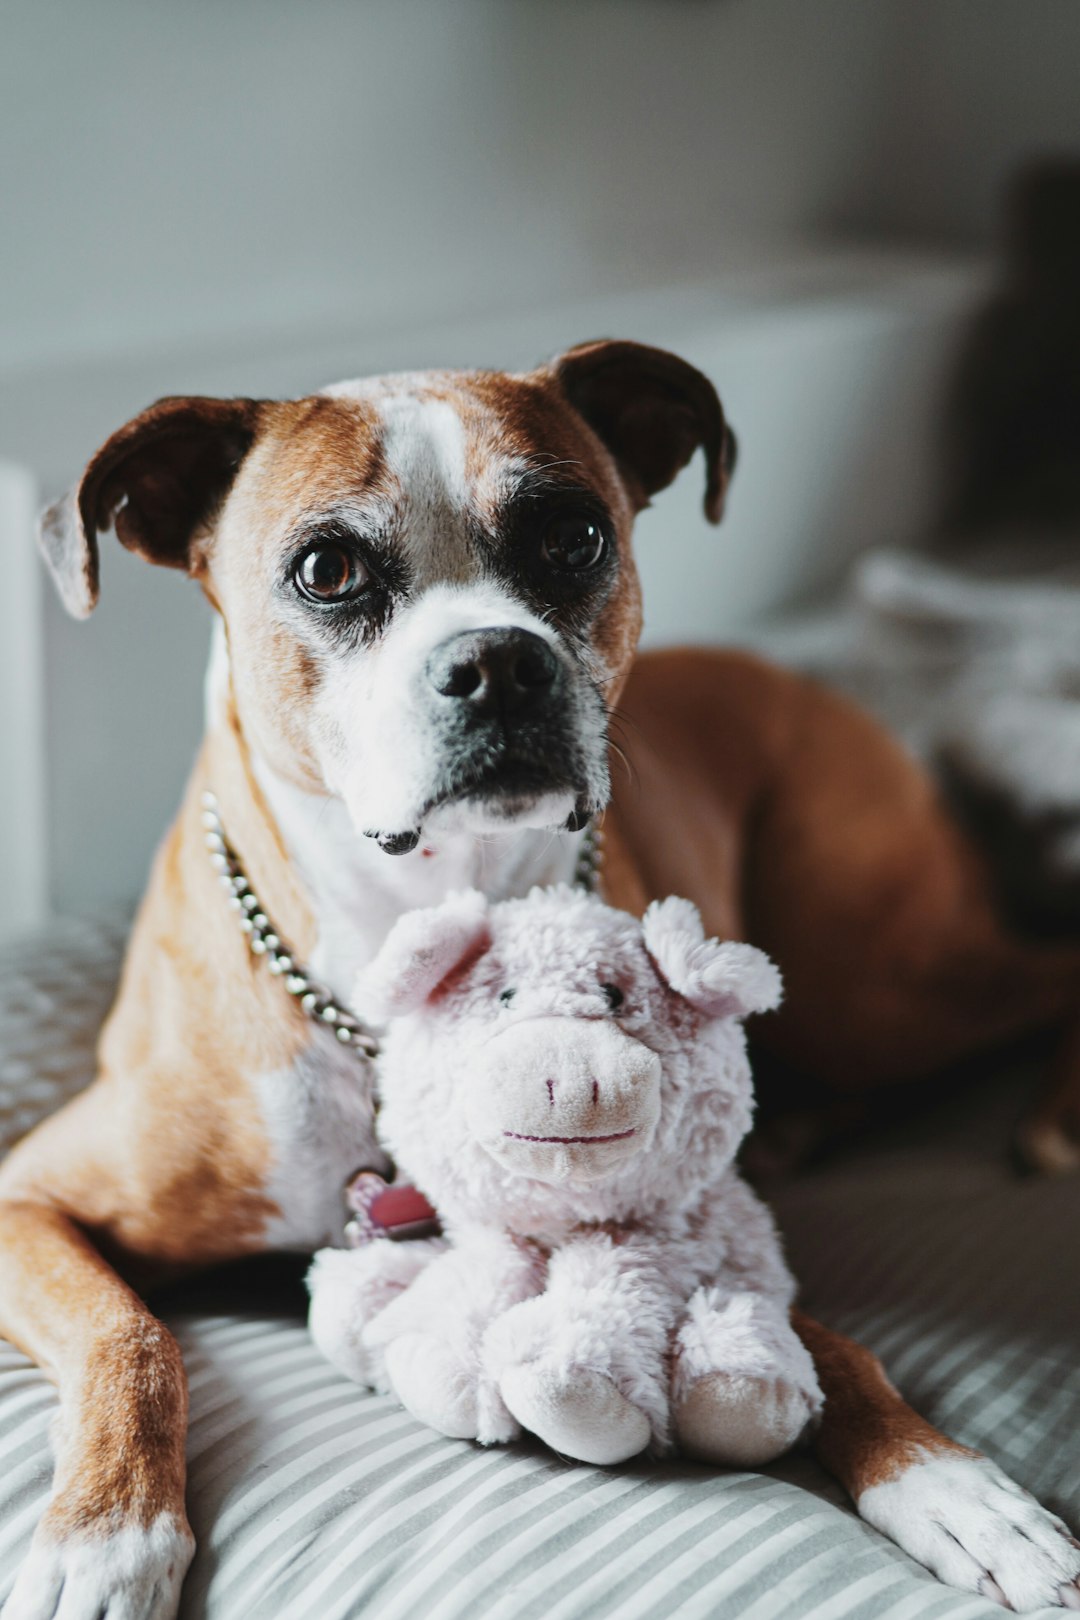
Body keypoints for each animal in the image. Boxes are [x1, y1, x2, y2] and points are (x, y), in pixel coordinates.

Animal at [2, 335, 1080, 1613]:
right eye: (326, 569)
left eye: (574, 536)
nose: (498, 663)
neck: (411, 917)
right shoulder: (28, 1199)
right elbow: (131, 1335)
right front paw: (106, 1532)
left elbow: (832, 1344)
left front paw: (950, 1486)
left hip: (876, 981)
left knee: (1048, 971)